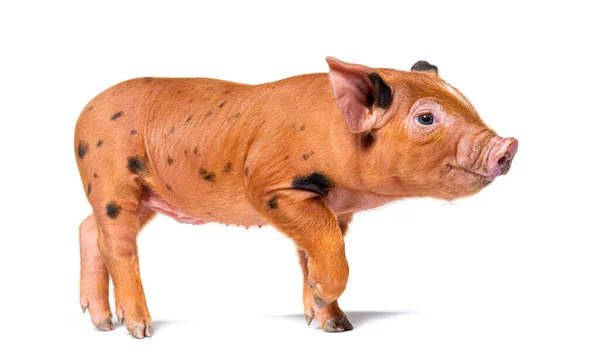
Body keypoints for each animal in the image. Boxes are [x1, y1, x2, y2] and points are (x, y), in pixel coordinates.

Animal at [74, 56, 516, 338]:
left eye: (467, 102)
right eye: (426, 118)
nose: (507, 145)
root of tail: (86, 110)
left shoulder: (336, 209)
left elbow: (313, 253)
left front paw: (335, 325)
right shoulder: (270, 186)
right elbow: (330, 249)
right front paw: (323, 298)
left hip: (146, 198)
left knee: (88, 229)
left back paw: (101, 324)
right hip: (110, 179)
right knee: (118, 246)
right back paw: (138, 330)